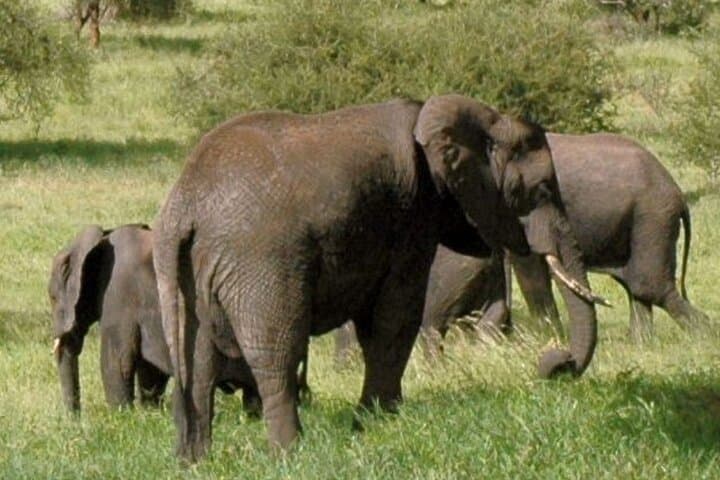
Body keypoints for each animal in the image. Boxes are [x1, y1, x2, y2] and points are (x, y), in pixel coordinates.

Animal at [49, 224, 308, 415]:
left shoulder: (117, 296)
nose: (76, 419)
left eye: (52, 297)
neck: (102, 238)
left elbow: (117, 362)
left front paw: (121, 417)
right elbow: (150, 368)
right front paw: (150, 413)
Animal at [153, 94, 607, 461]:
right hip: (262, 264)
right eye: (541, 189)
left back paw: (194, 461)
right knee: (277, 352)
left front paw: (377, 420)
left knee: (199, 362)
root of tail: (184, 206)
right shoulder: (412, 215)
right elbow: (396, 316)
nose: (554, 364)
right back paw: (290, 454)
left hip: (188, 271)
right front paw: (379, 424)